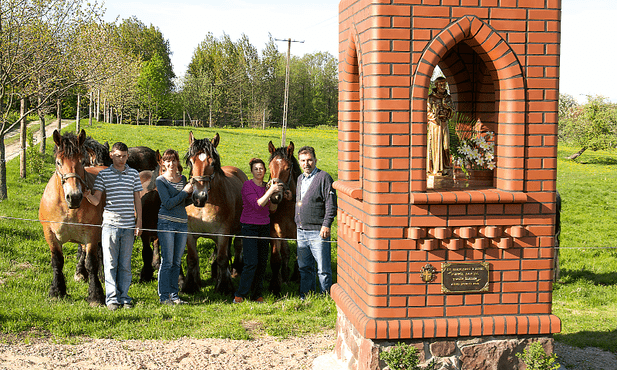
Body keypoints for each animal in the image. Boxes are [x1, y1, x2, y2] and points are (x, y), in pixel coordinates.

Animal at [39, 129, 106, 304]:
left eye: (82, 162)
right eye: (58, 162)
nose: (74, 197)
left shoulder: (91, 233)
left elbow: (91, 262)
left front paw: (95, 295)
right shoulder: (50, 234)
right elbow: (57, 261)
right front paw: (57, 291)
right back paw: (80, 273)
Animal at [182, 133, 247, 294]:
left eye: (212, 164)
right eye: (191, 162)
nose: (199, 197)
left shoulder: (223, 233)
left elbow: (222, 259)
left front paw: (224, 286)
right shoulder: (189, 233)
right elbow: (192, 259)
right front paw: (191, 285)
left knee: (237, 246)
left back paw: (236, 270)